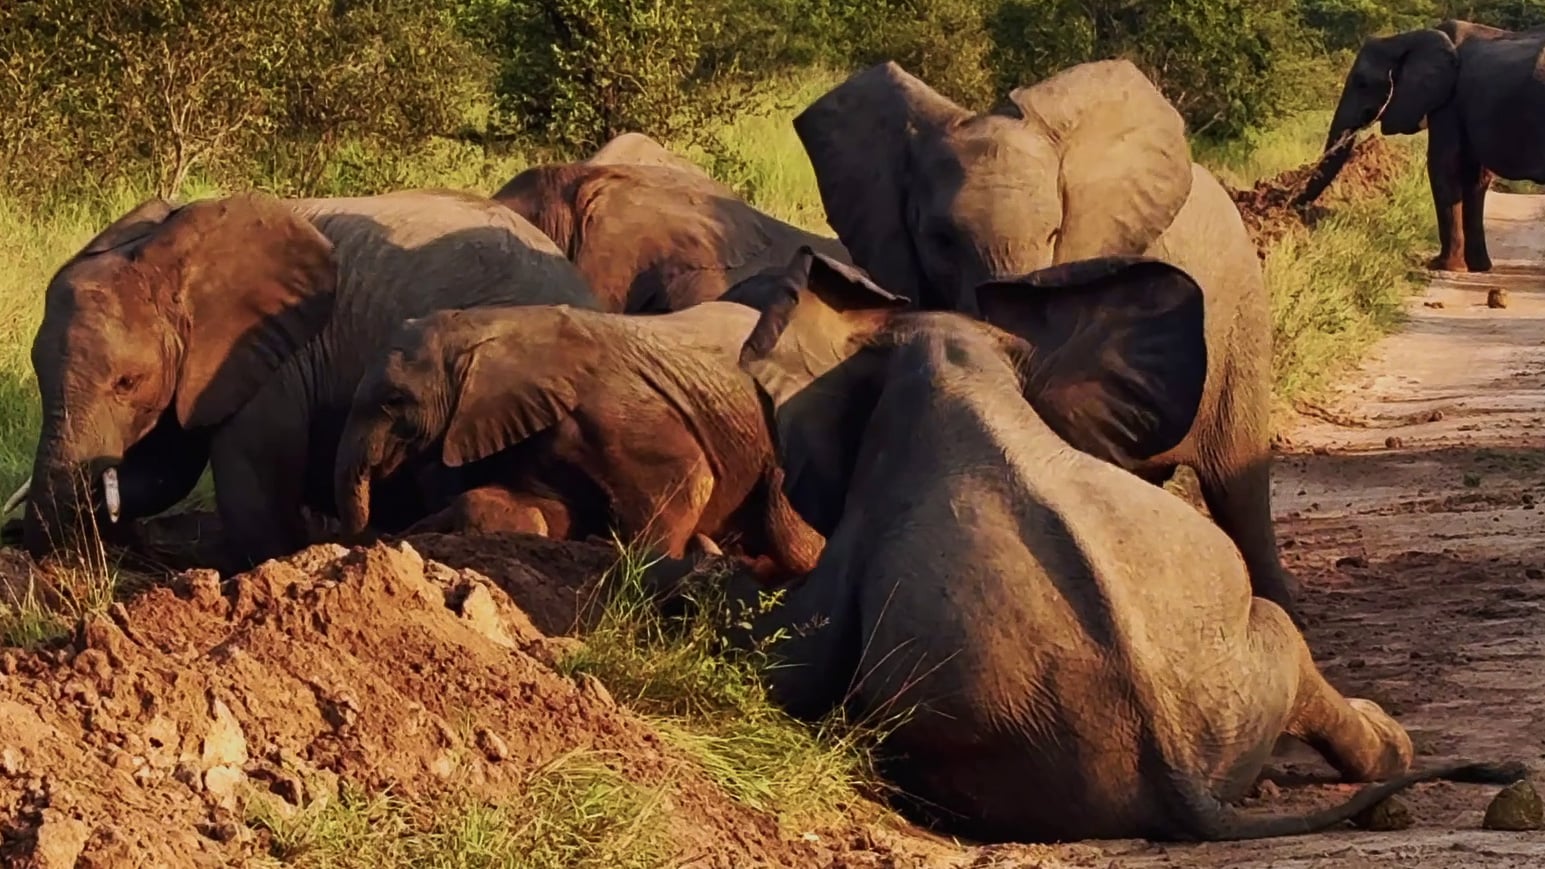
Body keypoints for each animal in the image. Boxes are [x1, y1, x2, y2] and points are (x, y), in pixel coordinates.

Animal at [333, 301, 825, 578]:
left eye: (395, 400)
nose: (376, 536)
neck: (487, 326)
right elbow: (543, 507)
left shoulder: (611, 409)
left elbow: (687, 479)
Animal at [1296, 19, 1545, 273]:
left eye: (1362, 83)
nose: (1294, 208)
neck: (1404, 38)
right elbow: (1475, 177)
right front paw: (1478, 268)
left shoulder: (1448, 102)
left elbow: (1444, 167)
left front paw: (1441, 265)